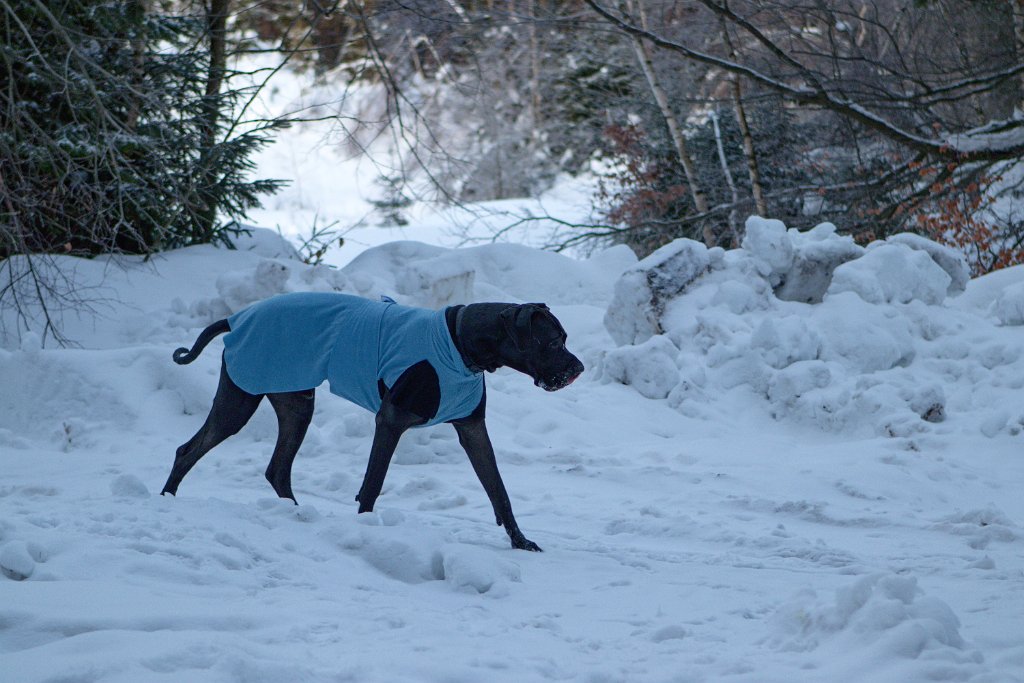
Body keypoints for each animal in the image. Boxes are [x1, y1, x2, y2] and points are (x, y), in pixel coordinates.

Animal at [164, 294, 589, 548]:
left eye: (565, 338)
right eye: (554, 342)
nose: (578, 369)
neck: (461, 343)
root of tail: (236, 317)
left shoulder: (472, 429)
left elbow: (499, 491)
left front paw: (521, 542)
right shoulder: (390, 421)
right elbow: (372, 484)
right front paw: (365, 531)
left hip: (296, 403)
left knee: (278, 469)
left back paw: (295, 514)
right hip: (241, 398)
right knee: (188, 450)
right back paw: (166, 501)